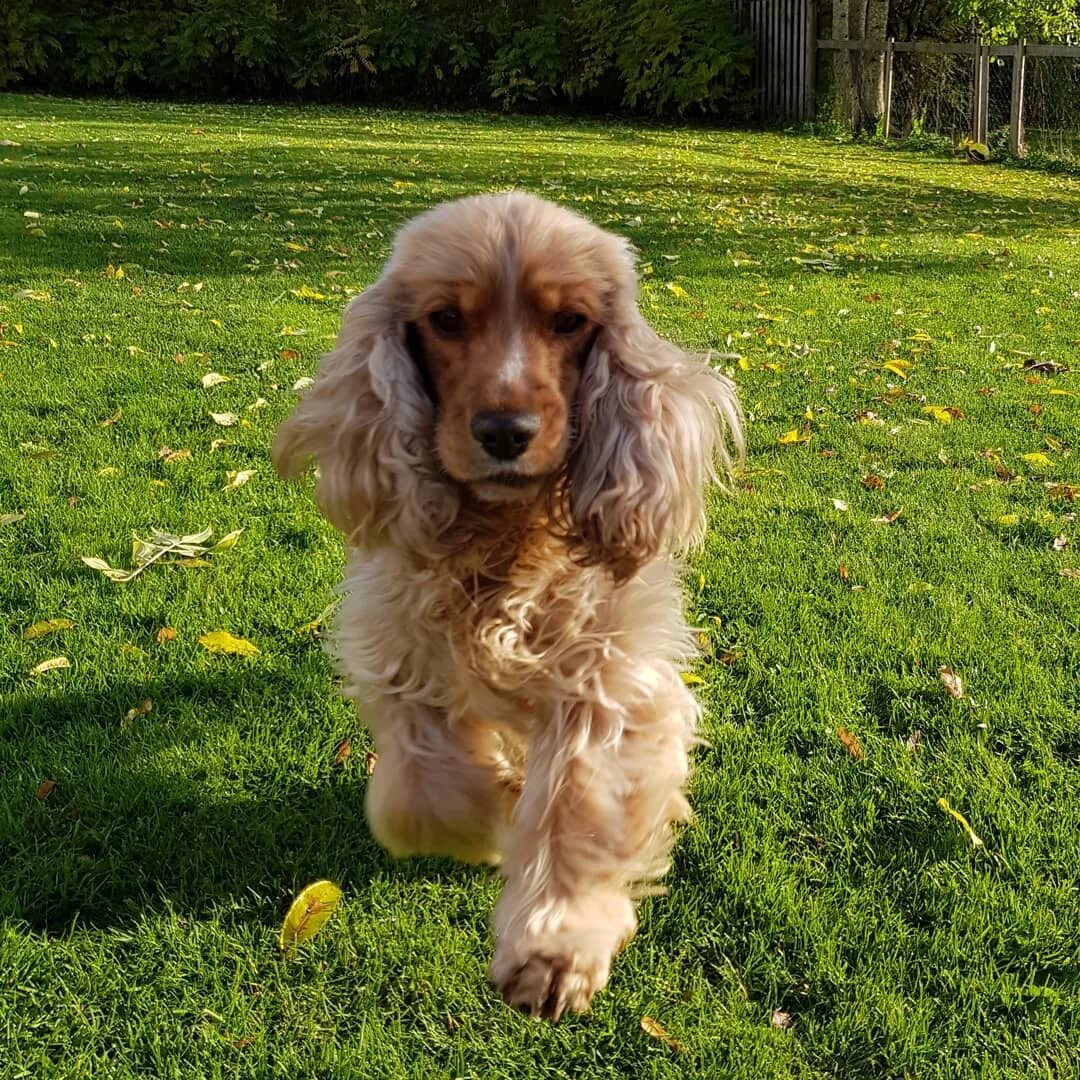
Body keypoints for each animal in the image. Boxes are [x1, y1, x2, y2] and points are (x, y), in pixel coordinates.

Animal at [270, 192, 743, 1019]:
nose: (504, 432)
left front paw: (555, 946)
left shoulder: (608, 678)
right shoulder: (399, 654)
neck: (504, 539)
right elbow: (417, 796)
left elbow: (581, 802)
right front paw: (497, 818)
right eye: (444, 319)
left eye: (571, 322)